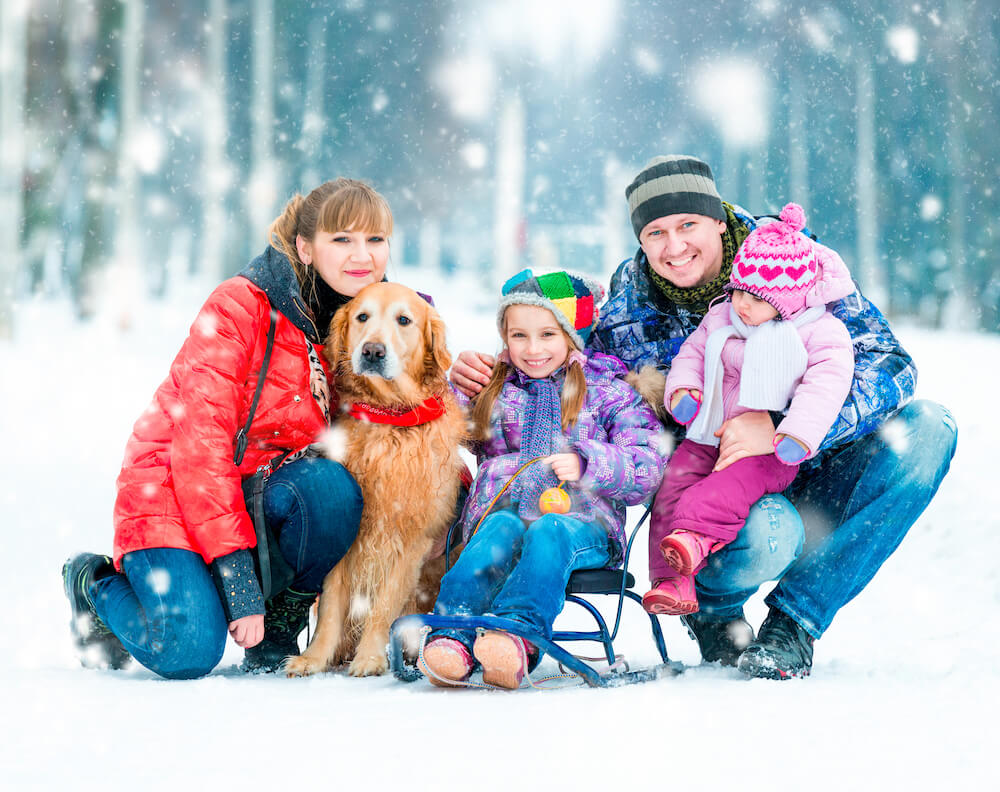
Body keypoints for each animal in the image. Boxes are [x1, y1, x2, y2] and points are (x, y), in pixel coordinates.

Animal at [284, 282, 466, 676]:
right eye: (362, 316)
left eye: (404, 320)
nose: (372, 351)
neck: (387, 418)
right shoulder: (349, 536)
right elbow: (331, 608)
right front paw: (315, 658)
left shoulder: (411, 539)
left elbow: (384, 605)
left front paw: (369, 657)